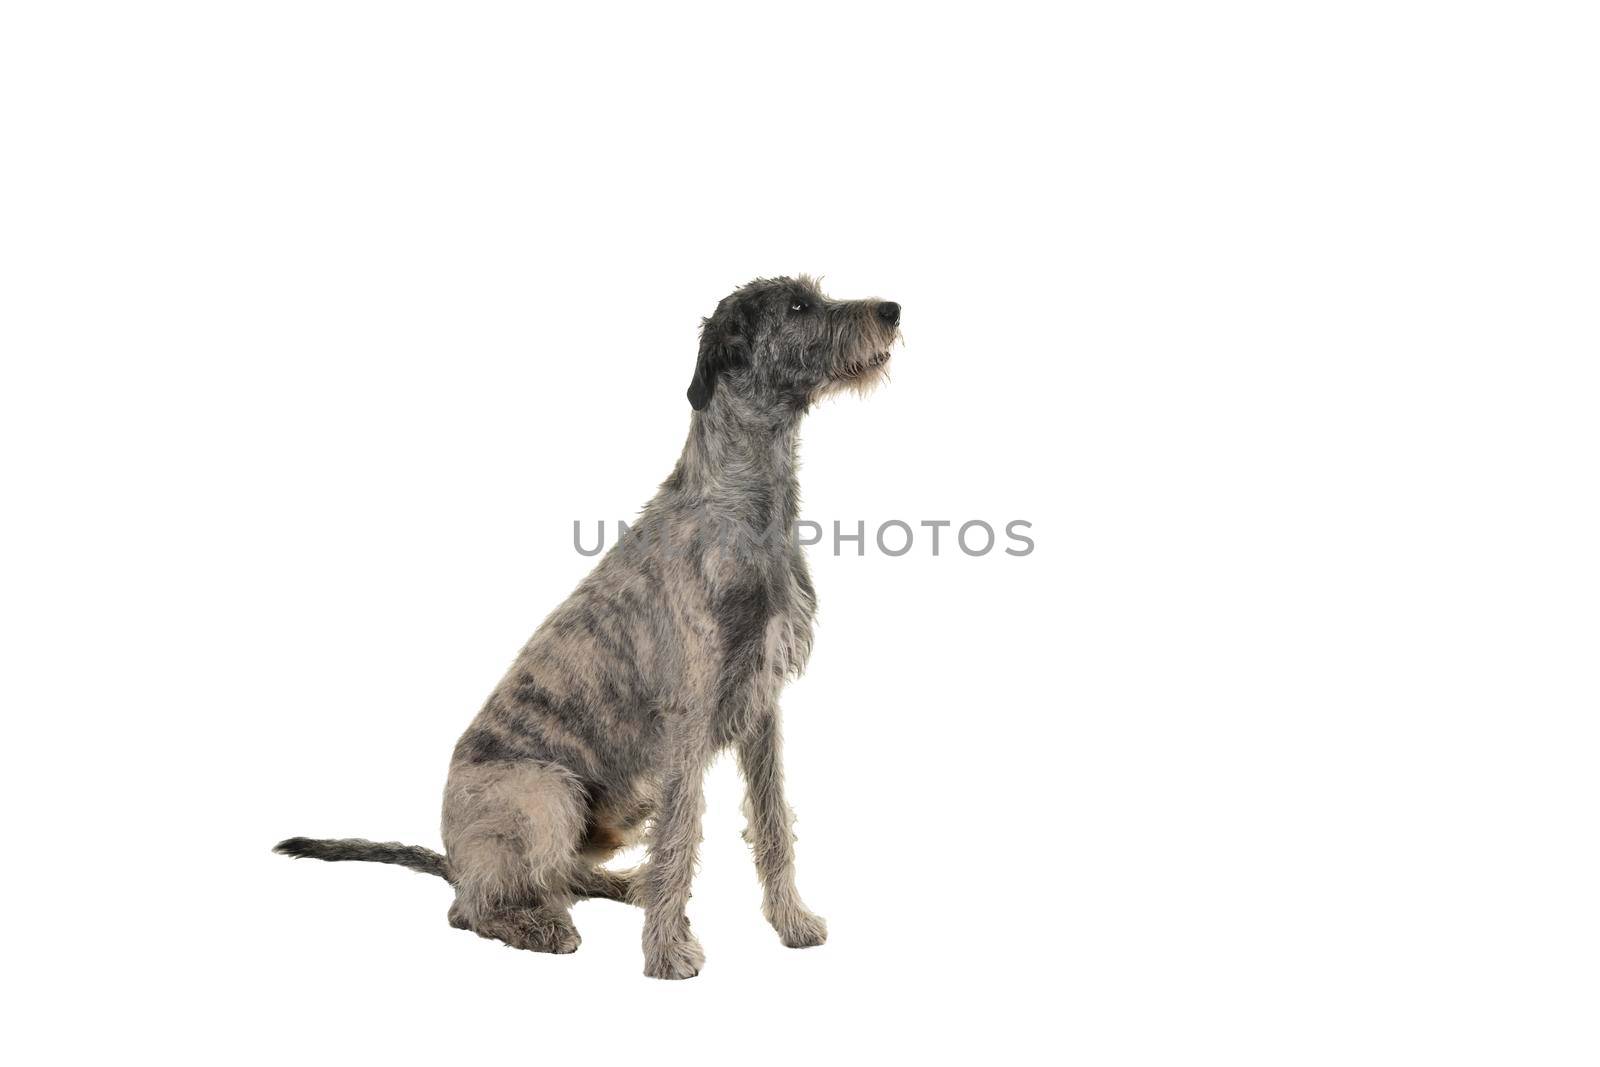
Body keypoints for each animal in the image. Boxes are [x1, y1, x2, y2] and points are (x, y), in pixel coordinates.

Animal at [276, 278, 902, 985]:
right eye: (797, 306)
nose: (892, 311)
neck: (738, 506)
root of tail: (453, 858)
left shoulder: (762, 707)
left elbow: (771, 820)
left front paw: (791, 923)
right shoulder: (686, 719)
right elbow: (682, 834)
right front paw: (668, 952)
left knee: (562, 876)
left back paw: (621, 887)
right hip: (549, 791)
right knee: (474, 906)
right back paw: (541, 926)